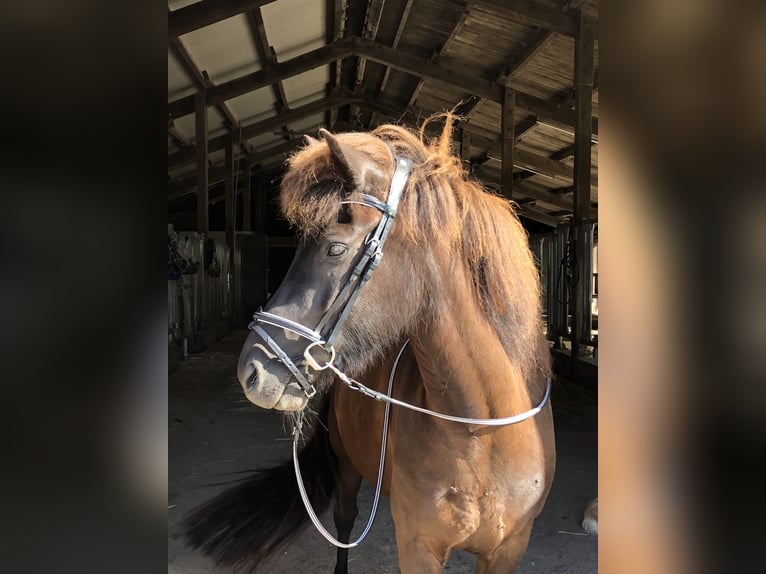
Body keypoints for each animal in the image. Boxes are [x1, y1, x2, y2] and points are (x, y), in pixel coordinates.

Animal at [184, 114, 555, 573]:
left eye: (335, 248)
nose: (250, 371)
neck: (481, 432)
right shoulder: (417, 546)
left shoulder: (508, 550)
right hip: (346, 466)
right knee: (345, 519)